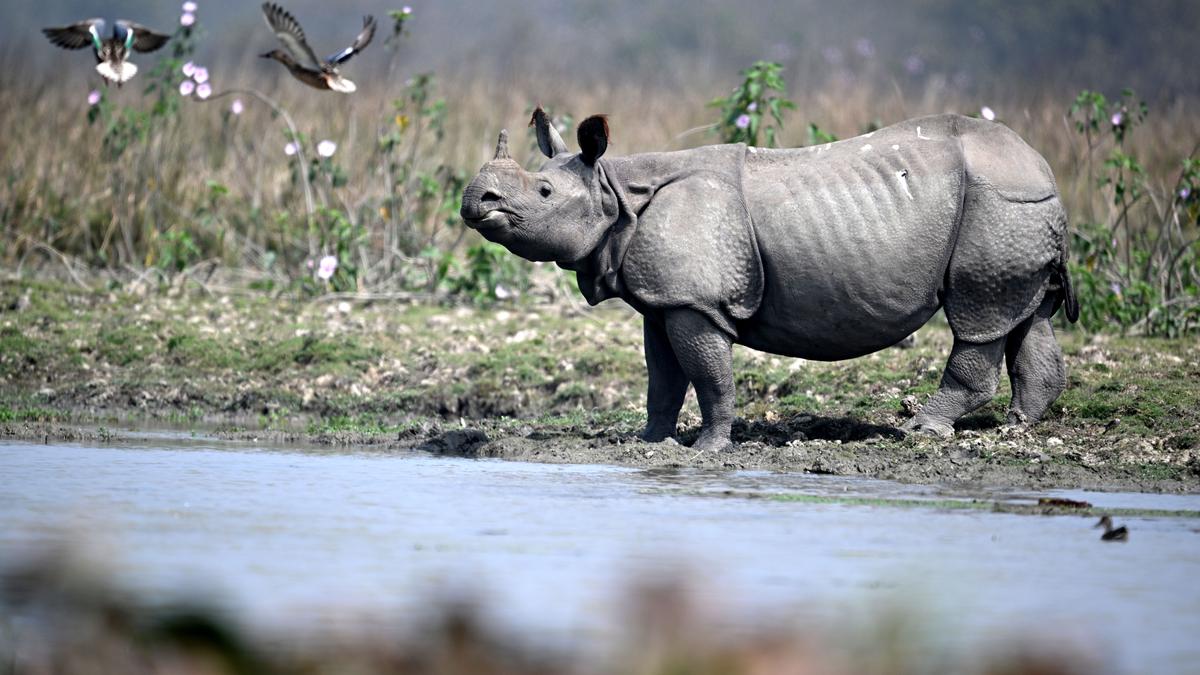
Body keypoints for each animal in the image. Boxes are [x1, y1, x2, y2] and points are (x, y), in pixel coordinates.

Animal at [460, 109, 1079, 452]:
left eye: (543, 193)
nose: (475, 200)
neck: (615, 189)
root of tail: (1044, 166)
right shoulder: (664, 300)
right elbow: (662, 378)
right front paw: (651, 443)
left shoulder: (695, 302)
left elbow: (708, 376)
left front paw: (707, 449)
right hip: (1017, 208)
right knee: (1023, 315)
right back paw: (1016, 427)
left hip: (998, 204)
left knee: (978, 317)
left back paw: (920, 431)